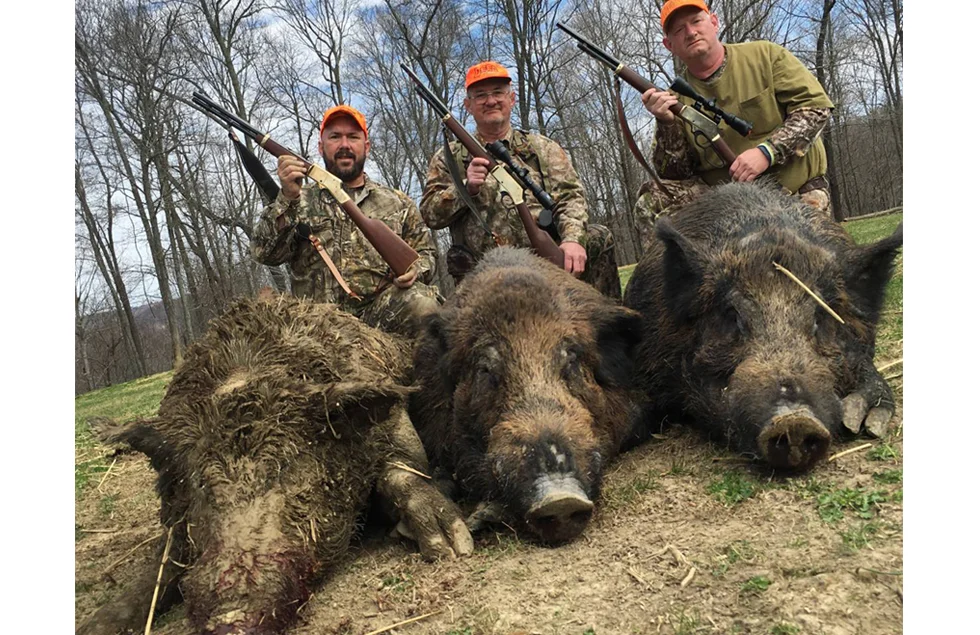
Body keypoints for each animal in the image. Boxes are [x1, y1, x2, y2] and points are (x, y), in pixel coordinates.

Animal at [76, 295, 472, 635]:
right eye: (200, 482)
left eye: (286, 465)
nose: (230, 617)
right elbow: (155, 574)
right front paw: (92, 625)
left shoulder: (396, 430)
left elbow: (402, 473)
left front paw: (451, 546)